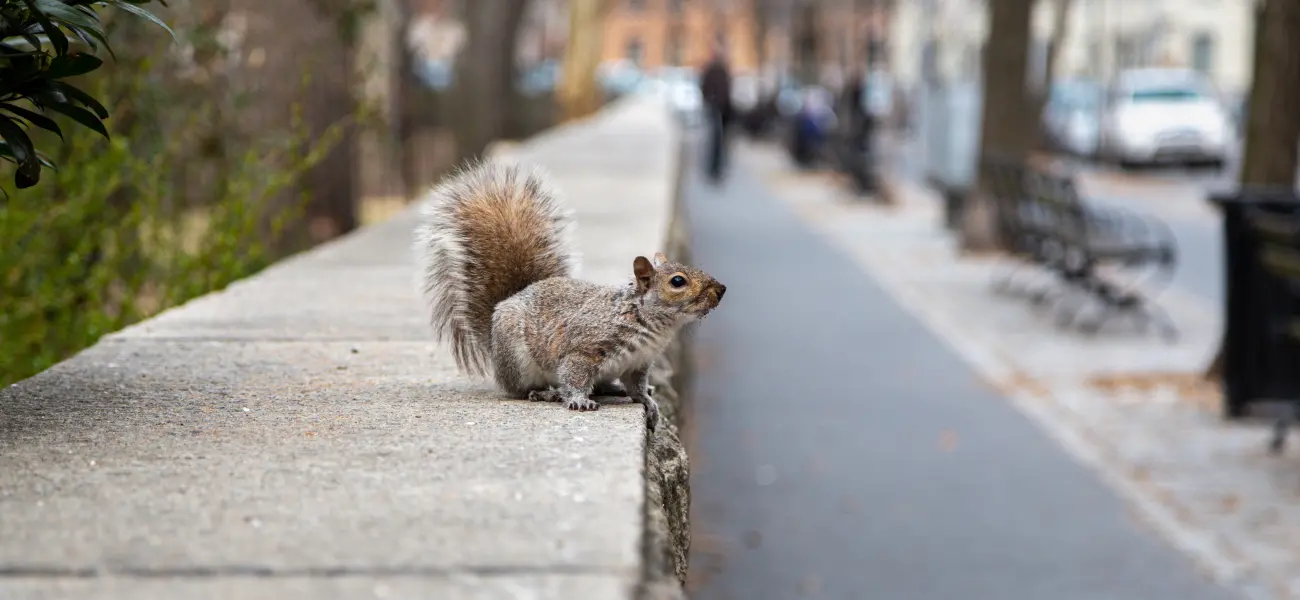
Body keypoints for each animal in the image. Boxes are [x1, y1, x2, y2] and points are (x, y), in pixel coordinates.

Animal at [412, 160, 726, 431]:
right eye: (678, 281)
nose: (721, 290)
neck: (647, 322)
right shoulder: (585, 349)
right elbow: (573, 375)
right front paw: (578, 400)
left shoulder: (637, 364)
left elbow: (636, 387)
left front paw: (648, 402)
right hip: (518, 361)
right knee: (520, 389)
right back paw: (546, 394)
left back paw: (611, 388)